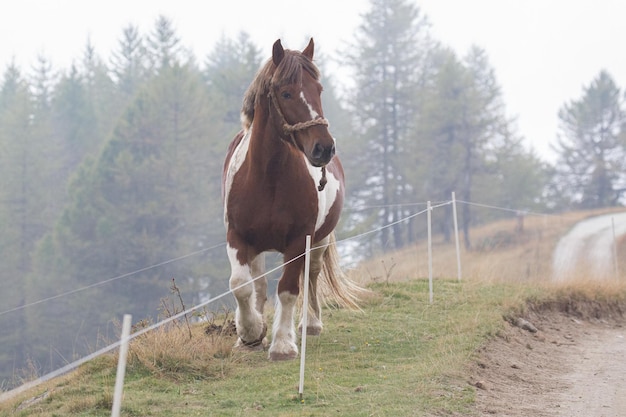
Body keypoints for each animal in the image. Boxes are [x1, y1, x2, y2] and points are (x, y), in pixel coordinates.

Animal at [221, 37, 358, 360]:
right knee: (258, 284)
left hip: (320, 240)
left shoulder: (299, 239)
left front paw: (282, 344)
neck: (267, 178)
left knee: (311, 275)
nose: (324, 148)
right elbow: (241, 285)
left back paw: (310, 323)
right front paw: (250, 332)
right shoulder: (237, 236)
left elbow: (288, 288)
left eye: (319, 90)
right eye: (286, 92)